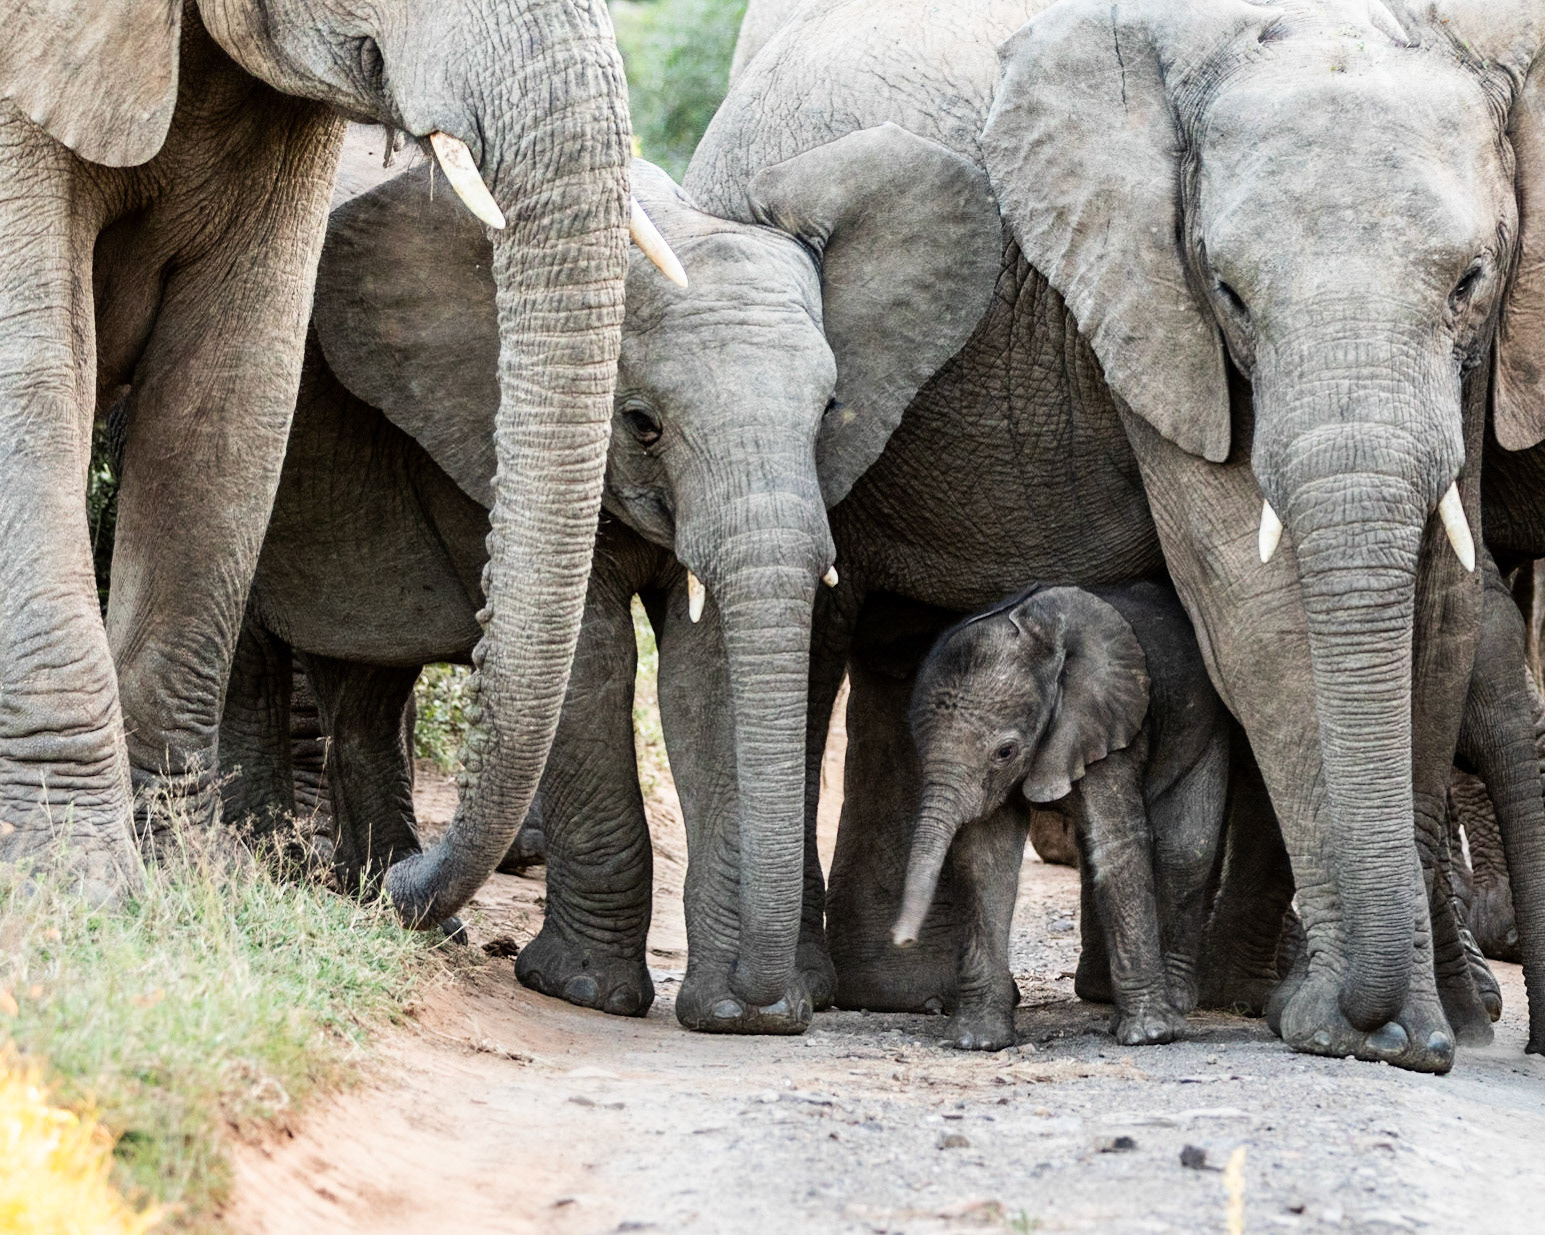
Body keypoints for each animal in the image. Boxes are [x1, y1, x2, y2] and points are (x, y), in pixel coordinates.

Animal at [890, 581, 1232, 1051]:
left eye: (1005, 751)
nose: (902, 939)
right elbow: (986, 857)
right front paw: (979, 1041)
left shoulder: (1110, 725)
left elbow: (1118, 844)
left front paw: (1151, 1035)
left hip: (1206, 727)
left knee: (1185, 850)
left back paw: (1176, 1003)